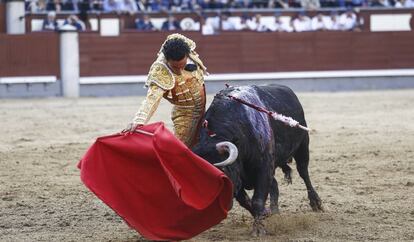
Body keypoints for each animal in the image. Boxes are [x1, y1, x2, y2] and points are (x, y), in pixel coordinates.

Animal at [192, 84, 324, 234]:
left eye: (223, 171)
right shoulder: (241, 178)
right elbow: (246, 200)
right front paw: (264, 216)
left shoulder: (263, 168)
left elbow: (258, 200)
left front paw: (258, 229)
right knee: (275, 185)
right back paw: (275, 213)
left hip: (303, 145)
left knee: (304, 172)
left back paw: (316, 203)